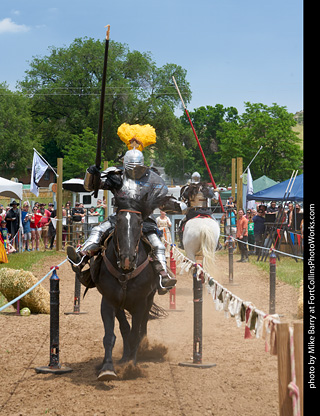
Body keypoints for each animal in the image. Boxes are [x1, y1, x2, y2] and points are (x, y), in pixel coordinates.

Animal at [92, 197, 160, 382]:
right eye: (118, 223)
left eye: (140, 223)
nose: (128, 258)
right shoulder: (108, 302)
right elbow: (111, 335)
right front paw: (107, 368)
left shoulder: (140, 303)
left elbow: (136, 333)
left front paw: (131, 364)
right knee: (125, 328)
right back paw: (123, 357)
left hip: (149, 299)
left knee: (142, 325)